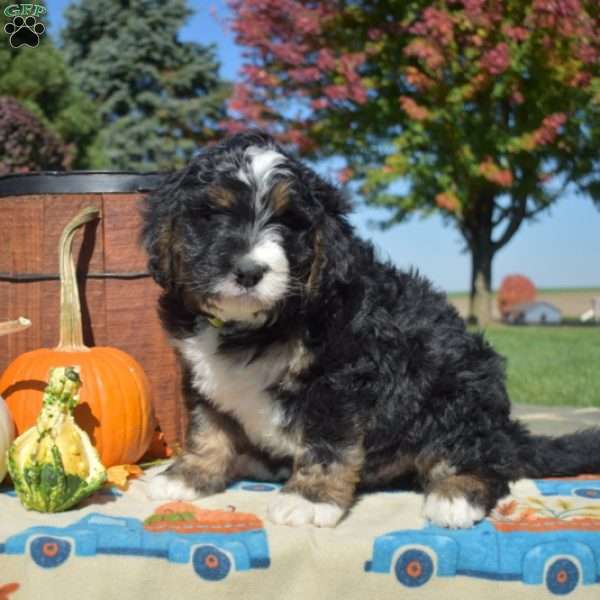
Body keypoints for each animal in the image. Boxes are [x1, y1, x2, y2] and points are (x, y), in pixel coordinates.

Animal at [143, 132, 600, 528]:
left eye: (289, 222)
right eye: (211, 215)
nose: (249, 270)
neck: (256, 325)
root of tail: (506, 431)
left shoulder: (341, 377)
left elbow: (327, 443)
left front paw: (308, 499)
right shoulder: (203, 376)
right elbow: (207, 428)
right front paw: (187, 476)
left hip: (459, 393)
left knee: (483, 457)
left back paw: (455, 495)